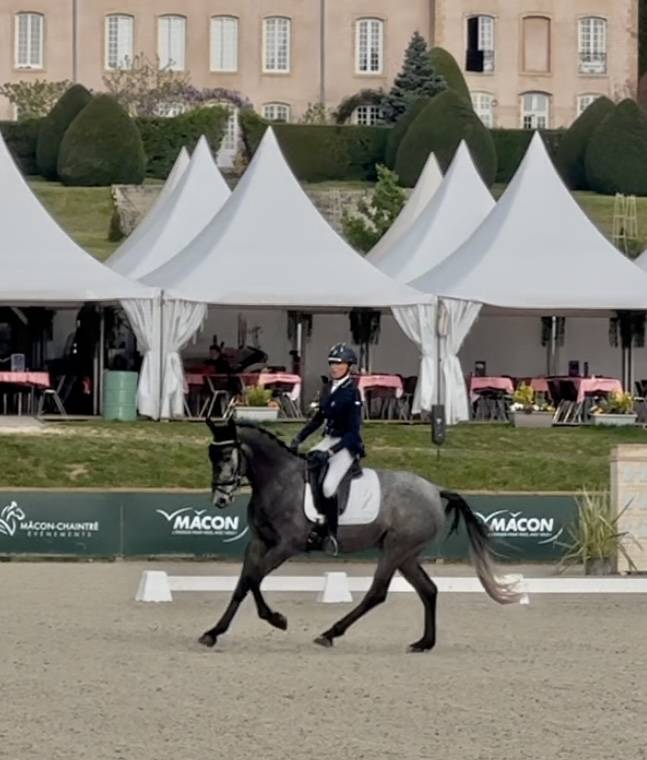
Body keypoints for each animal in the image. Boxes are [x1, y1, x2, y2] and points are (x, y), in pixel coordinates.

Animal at [200, 418, 520, 652]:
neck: (279, 480)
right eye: (211, 456)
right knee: (428, 590)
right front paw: (213, 632)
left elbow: (254, 578)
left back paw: (331, 633)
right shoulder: (259, 542)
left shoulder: (287, 545)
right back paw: (424, 643)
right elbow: (244, 583)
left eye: (227, 455)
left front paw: (276, 619)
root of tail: (434, 489)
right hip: (406, 554)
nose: (220, 500)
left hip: (395, 549)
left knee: (377, 593)